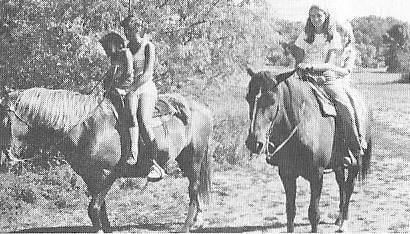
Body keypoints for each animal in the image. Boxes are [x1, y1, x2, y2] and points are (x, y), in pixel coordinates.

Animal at [0, 87, 213, 232]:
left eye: (5, 121)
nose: (6, 156)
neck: (85, 128)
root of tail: (201, 107)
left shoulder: (107, 175)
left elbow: (93, 208)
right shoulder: (90, 177)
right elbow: (100, 208)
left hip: (194, 157)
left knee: (194, 188)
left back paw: (186, 226)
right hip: (185, 159)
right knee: (195, 188)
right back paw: (198, 220)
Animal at [245, 68, 374, 232]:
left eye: (272, 100)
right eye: (248, 98)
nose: (254, 143)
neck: (303, 125)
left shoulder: (316, 175)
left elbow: (314, 214)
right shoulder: (286, 174)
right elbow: (290, 211)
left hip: (355, 161)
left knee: (349, 186)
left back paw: (343, 221)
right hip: (338, 164)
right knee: (342, 185)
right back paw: (338, 219)